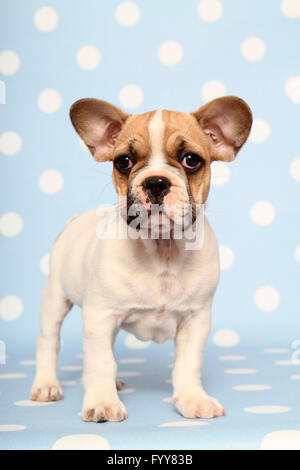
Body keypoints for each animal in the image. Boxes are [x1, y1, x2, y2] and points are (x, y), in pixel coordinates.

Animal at [30, 95, 252, 422]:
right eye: (123, 161)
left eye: (191, 160)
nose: (156, 182)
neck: (162, 248)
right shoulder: (99, 315)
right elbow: (100, 362)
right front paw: (102, 401)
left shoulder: (195, 319)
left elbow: (188, 364)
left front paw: (193, 399)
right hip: (56, 297)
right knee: (49, 341)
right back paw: (46, 384)